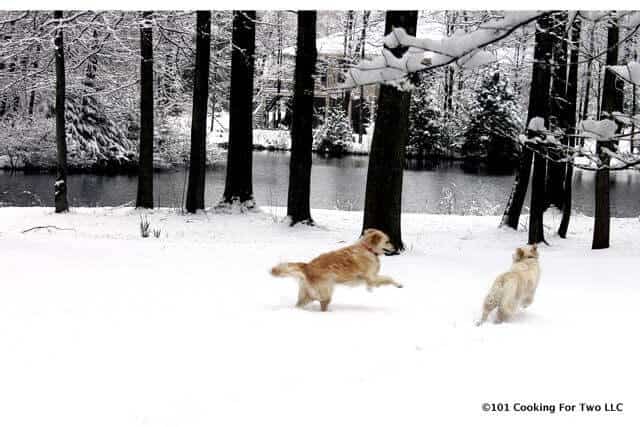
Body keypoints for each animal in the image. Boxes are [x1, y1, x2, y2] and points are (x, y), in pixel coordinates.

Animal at [268, 229, 400, 312]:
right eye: (387, 241)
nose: (396, 248)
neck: (367, 249)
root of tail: (307, 266)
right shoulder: (372, 278)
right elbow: (388, 278)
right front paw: (398, 284)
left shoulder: (371, 279)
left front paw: (370, 289)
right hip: (325, 292)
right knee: (322, 303)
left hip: (307, 294)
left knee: (300, 305)